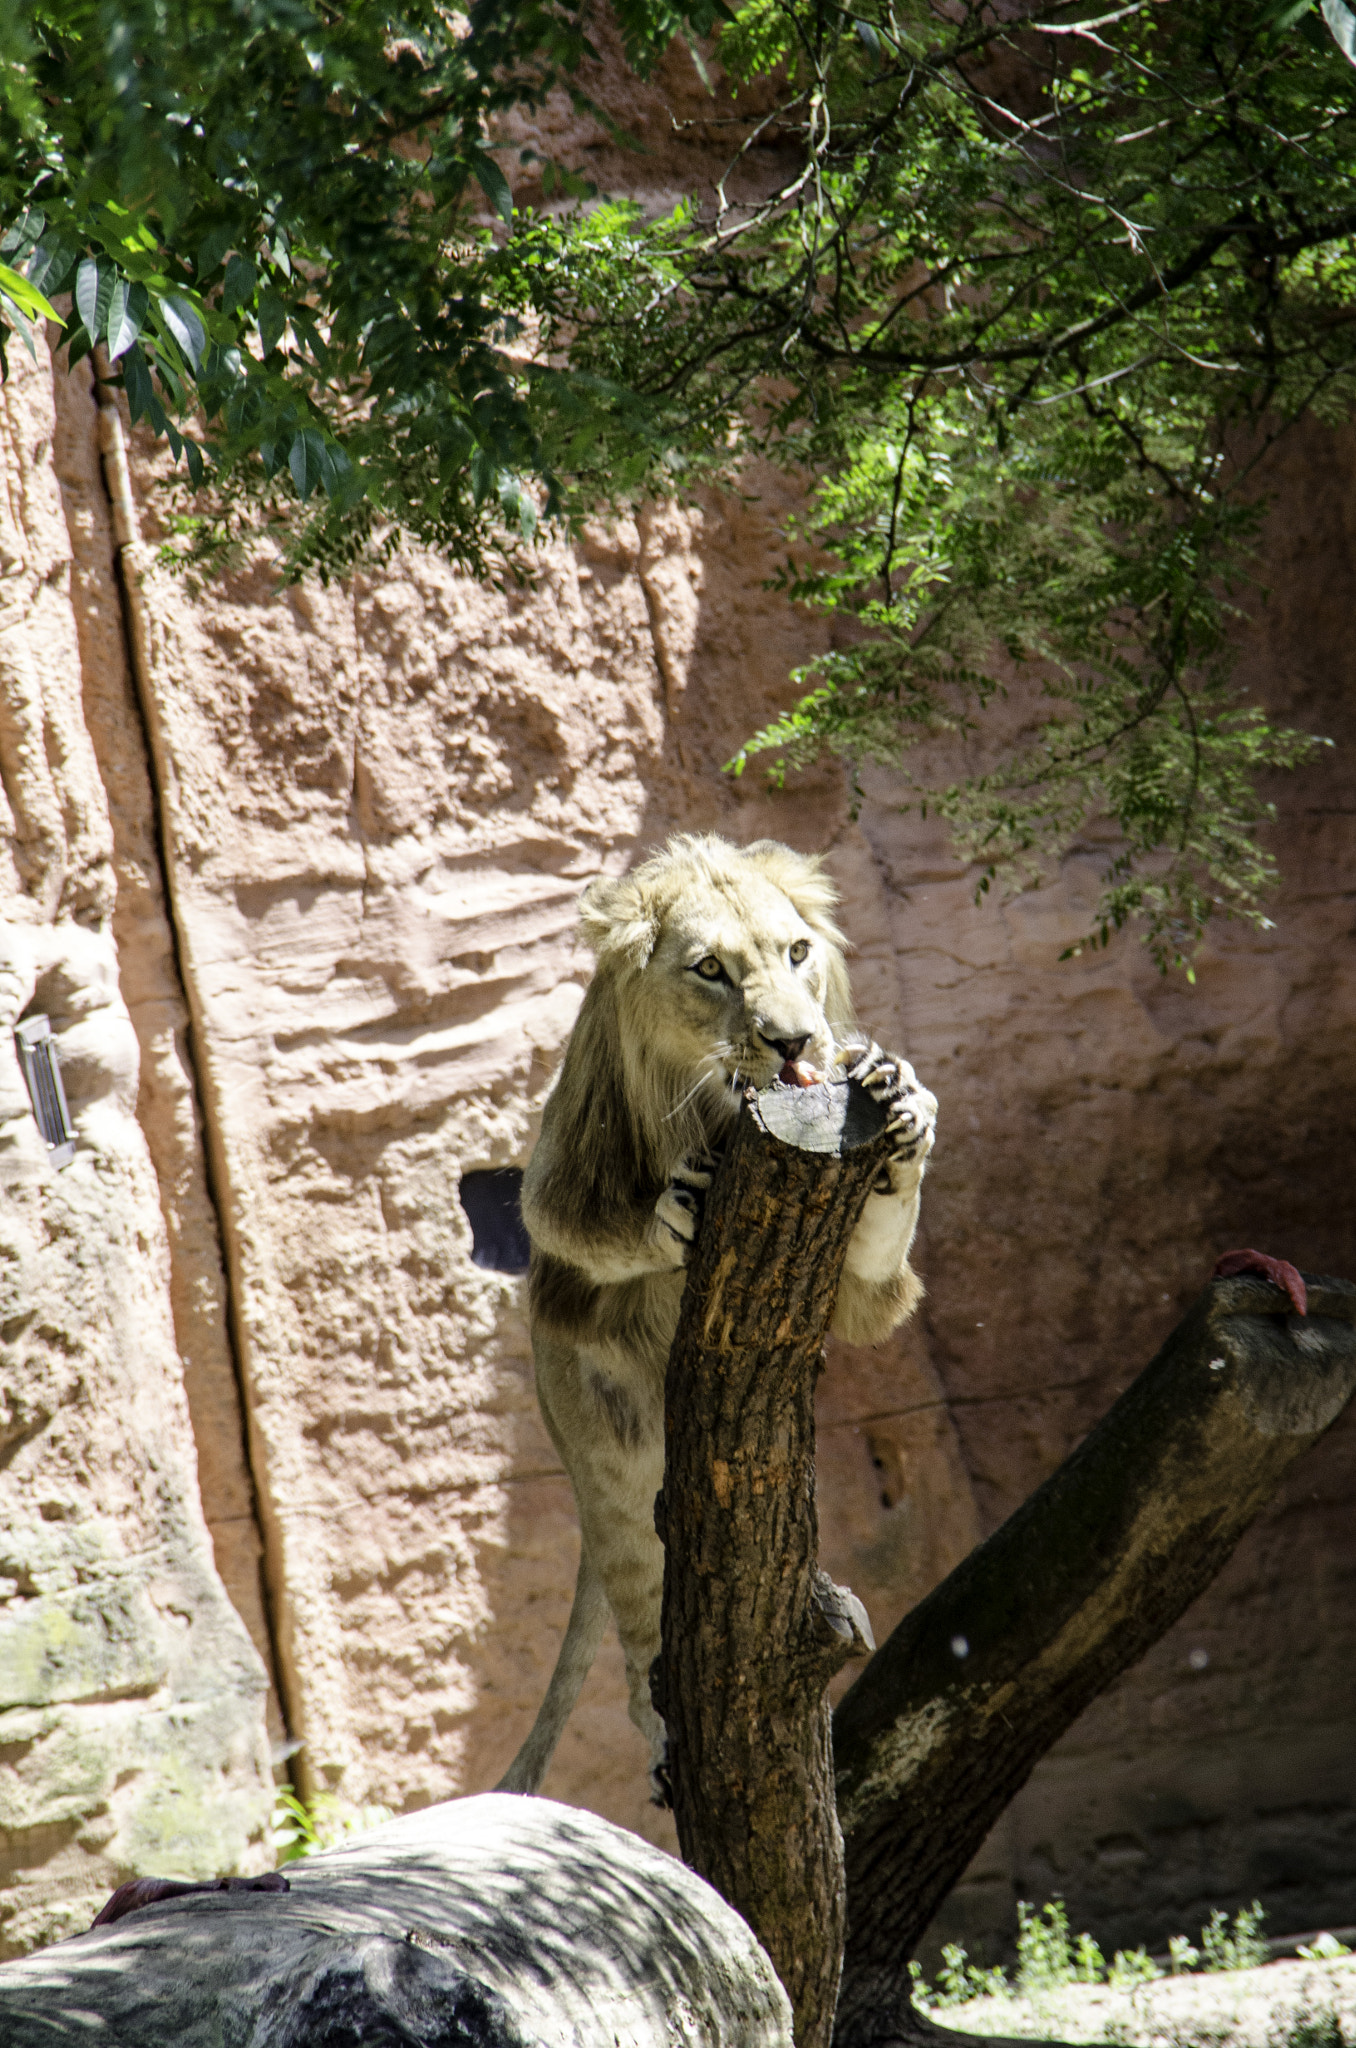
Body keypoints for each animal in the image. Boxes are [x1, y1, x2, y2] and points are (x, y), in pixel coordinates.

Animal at [499, 827, 934, 1794]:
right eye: (710, 970)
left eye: (797, 953)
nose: (795, 1040)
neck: (712, 1111)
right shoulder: (557, 1183)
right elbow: (583, 1227)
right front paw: (672, 1214)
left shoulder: (859, 1289)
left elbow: (880, 1266)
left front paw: (906, 1111)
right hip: (614, 1472)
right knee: (638, 1640)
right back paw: (666, 1736)